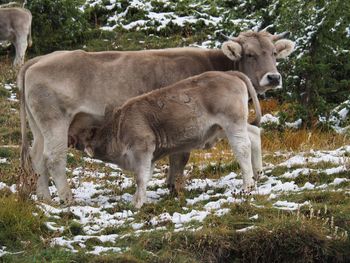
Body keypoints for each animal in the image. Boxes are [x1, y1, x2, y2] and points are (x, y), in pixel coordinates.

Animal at [18, 30, 292, 204]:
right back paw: (66, 199)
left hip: (39, 127)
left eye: (273, 53)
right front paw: (173, 186)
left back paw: (44, 198)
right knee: (54, 158)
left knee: (37, 157)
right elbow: (180, 157)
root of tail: (39, 59)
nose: (273, 77)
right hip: (55, 122)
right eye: (250, 54)